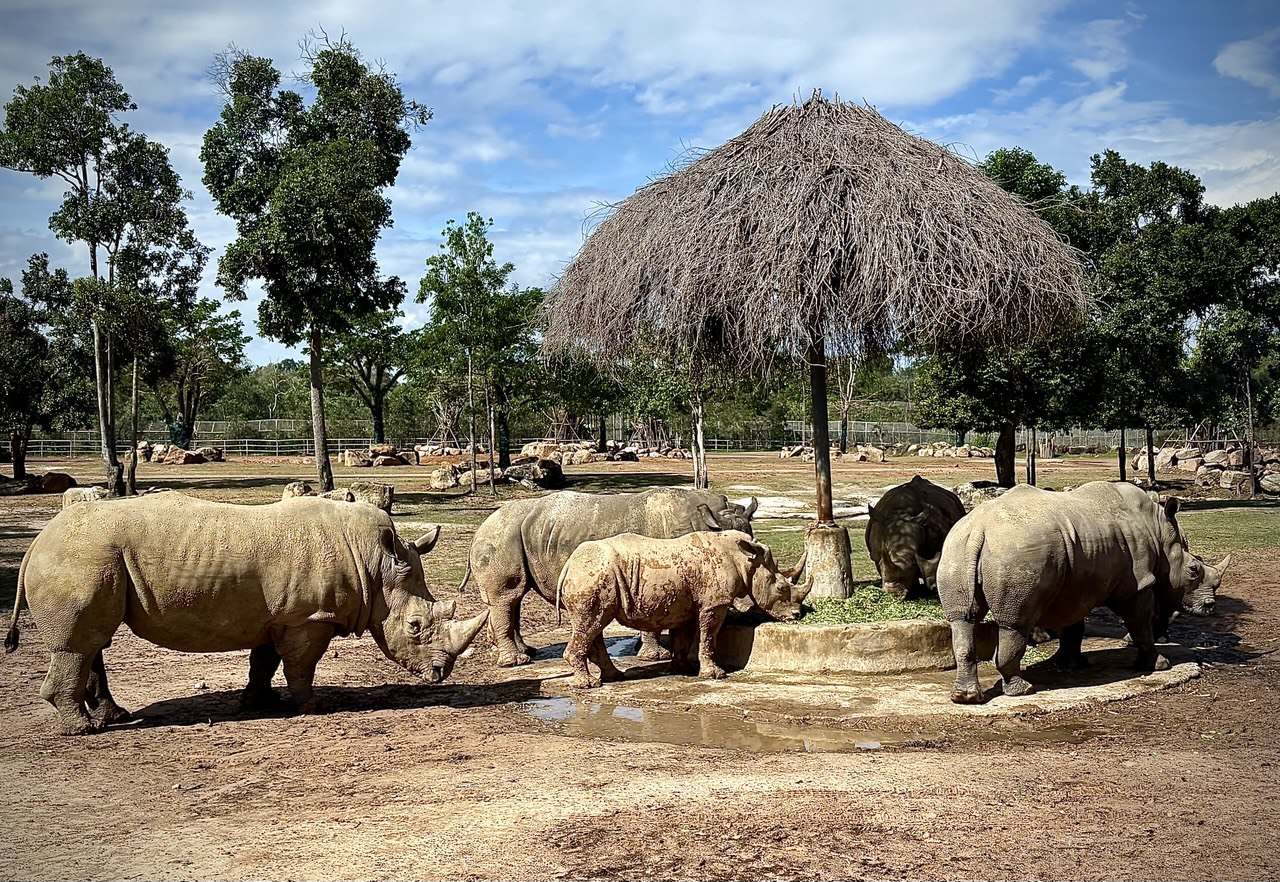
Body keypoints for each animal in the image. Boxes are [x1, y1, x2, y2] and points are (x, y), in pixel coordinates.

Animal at [6, 493, 488, 735]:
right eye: (415, 627)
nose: (440, 675)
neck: (375, 563)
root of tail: (38, 541)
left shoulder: (277, 617)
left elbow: (264, 661)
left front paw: (258, 703)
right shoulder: (307, 618)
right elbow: (300, 664)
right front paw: (313, 707)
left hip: (91, 558)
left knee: (94, 642)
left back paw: (114, 717)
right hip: (81, 558)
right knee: (79, 643)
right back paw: (84, 730)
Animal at [465, 488, 758, 667]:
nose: (748, 610)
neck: (709, 521)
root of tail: (481, 526)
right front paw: (655, 657)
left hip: (514, 534)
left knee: (513, 598)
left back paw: (527, 653)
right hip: (501, 536)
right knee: (507, 596)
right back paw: (517, 662)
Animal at [554, 530, 802, 688]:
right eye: (781, 588)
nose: (796, 615)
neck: (746, 560)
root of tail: (568, 565)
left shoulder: (687, 605)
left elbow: (684, 637)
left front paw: (682, 669)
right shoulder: (714, 604)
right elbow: (709, 636)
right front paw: (715, 675)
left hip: (594, 576)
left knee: (594, 624)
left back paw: (615, 677)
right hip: (593, 576)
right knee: (592, 624)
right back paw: (589, 685)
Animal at [938, 481, 1226, 704]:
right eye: (1193, 570)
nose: (1210, 606)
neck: (1159, 532)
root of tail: (979, 530)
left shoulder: (1075, 582)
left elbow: (1073, 624)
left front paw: (1069, 664)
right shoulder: (1138, 585)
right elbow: (1140, 624)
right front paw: (1159, 665)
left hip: (957, 547)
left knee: (962, 619)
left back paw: (965, 697)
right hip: (1014, 552)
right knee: (1014, 623)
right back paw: (1023, 690)